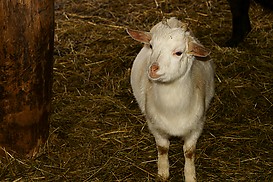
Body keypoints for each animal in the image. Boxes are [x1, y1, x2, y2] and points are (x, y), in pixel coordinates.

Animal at [126, 17, 214, 181]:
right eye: (151, 46)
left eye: (178, 52)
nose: (153, 68)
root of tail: (173, 20)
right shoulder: (155, 127)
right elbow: (162, 148)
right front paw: (163, 172)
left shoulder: (197, 127)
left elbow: (189, 152)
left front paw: (190, 176)